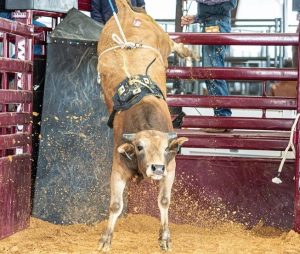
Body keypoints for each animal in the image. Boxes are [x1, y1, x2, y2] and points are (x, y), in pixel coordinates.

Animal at [97, 0, 193, 250]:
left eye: (165, 149)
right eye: (139, 147)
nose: (156, 168)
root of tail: (125, 11)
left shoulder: (170, 167)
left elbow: (164, 200)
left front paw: (165, 237)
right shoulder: (118, 167)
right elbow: (116, 205)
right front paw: (105, 239)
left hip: (162, 40)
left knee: (172, 43)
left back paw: (188, 52)